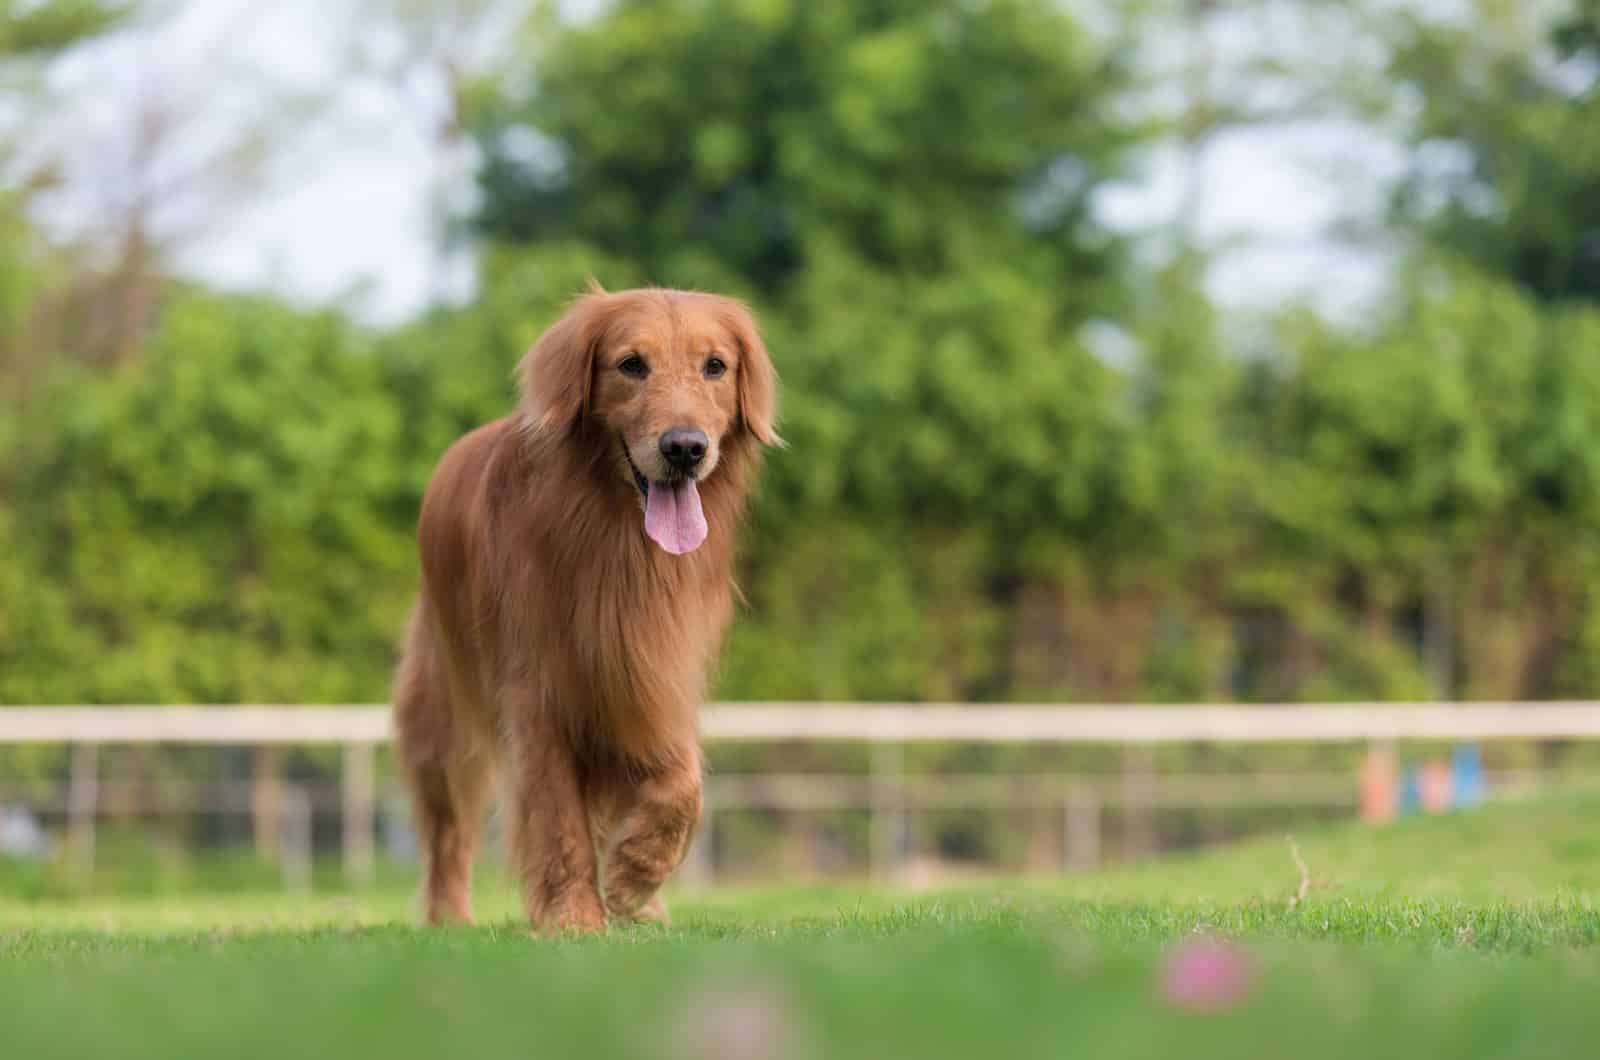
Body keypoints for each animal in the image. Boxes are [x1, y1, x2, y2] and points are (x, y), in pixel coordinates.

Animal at [393, 286, 780, 935]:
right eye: (631, 365)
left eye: (715, 366)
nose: (685, 448)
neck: (618, 542)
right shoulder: (540, 692)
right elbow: (558, 817)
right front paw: (573, 914)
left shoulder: (655, 674)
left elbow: (682, 784)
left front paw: (634, 876)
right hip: (442, 704)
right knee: (448, 824)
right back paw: (449, 915)